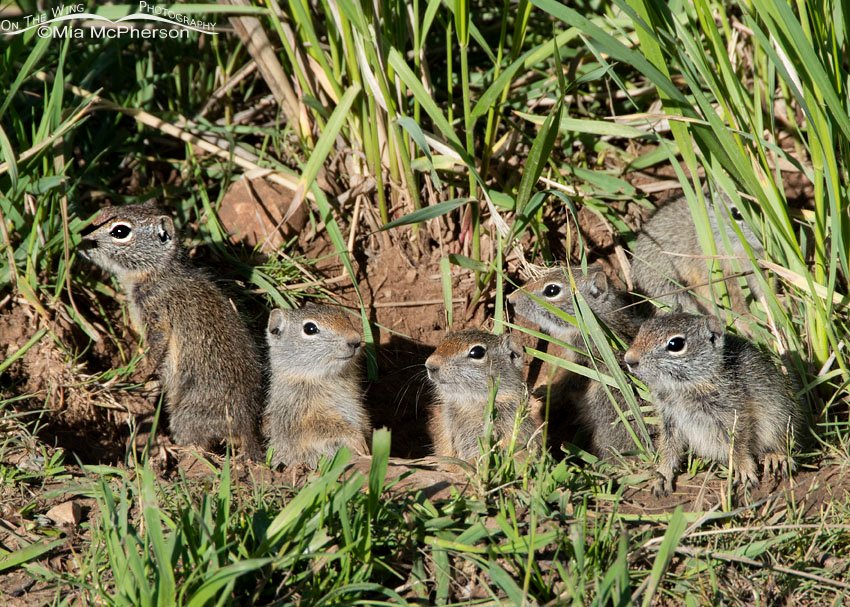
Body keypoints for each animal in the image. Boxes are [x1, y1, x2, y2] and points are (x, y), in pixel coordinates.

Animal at [79, 203, 263, 458]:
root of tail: (245, 425)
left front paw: (139, 375)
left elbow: (156, 349)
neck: (159, 273)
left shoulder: (157, 318)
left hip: (184, 417)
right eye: (102, 212)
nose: (82, 239)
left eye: (120, 231)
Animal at [265, 303, 369, 469]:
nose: (355, 339)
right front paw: (358, 441)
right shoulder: (298, 416)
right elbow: (324, 427)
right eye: (310, 328)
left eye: (345, 315)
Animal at [509, 265, 650, 457]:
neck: (596, 322)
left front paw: (541, 391)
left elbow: (566, 385)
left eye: (552, 290)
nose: (511, 299)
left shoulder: (581, 364)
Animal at [623, 312, 804, 496]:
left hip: (779, 417)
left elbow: (738, 443)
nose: (629, 359)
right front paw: (662, 474)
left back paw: (776, 457)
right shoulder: (669, 420)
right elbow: (668, 448)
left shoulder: (733, 415)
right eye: (643, 328)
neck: (685, 386)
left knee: (782, 441)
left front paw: (744, 469)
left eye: (676, 344)